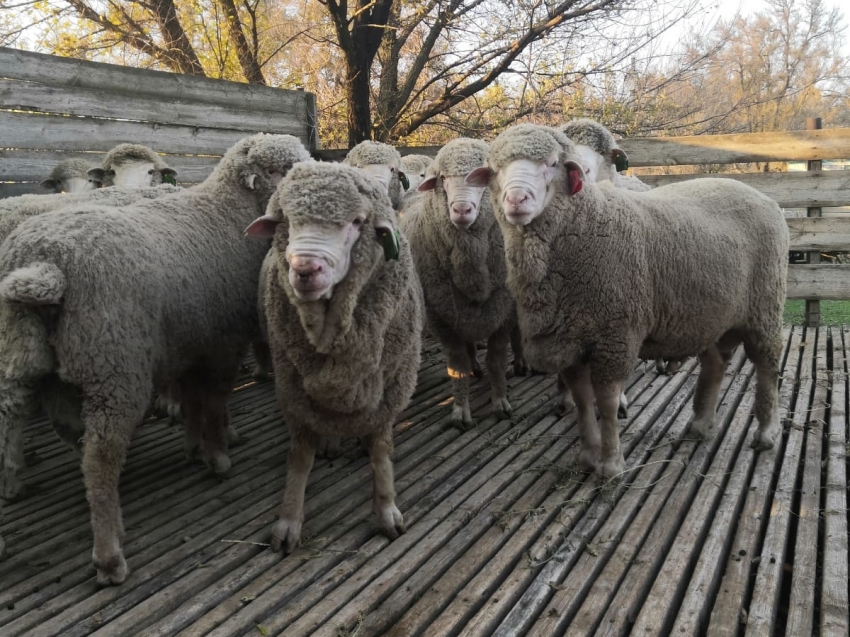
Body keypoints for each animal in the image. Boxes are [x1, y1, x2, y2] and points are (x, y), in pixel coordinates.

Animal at [0, 132, 312, 580]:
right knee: (100, 455)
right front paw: (218, 454)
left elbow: (195, 397)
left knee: (42, 424)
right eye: (278, 169)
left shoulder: (189, 337)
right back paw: (109, 554)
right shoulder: (224, 338)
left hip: (26, 361)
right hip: (114, 367)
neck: (225, 212)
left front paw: (196, 445)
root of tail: (43, 265)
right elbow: (215, 398)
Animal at [242, 159, 420, 552]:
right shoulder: (293, 392)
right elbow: (299, 458)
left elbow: (380, 451)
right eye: (286, 221)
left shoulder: (389, 391)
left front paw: (387, 510)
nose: (305, 269)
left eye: (357, 222)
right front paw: (289, 521)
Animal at [400, 139, 520, 428]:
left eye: (481, 177)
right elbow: (457, 366)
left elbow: (496, 361)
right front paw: (460, 411)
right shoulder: (441, 318)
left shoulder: (504, 312)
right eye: (443, 178)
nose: (462, 210)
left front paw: (500, 403)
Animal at [468, 123, 784, 476]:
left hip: (765, 305)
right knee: (716, 362)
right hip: (716, 313)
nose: (516, 199)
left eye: (551, 163)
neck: (586, 224)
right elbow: (581, 399)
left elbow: (606, 401)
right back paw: (701, 425)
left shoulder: (614, 334)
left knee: (767, 365)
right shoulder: (570, 337)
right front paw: (588, 455)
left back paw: (766, 432)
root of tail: (759, 195)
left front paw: (610, 463)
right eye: (495, 170)